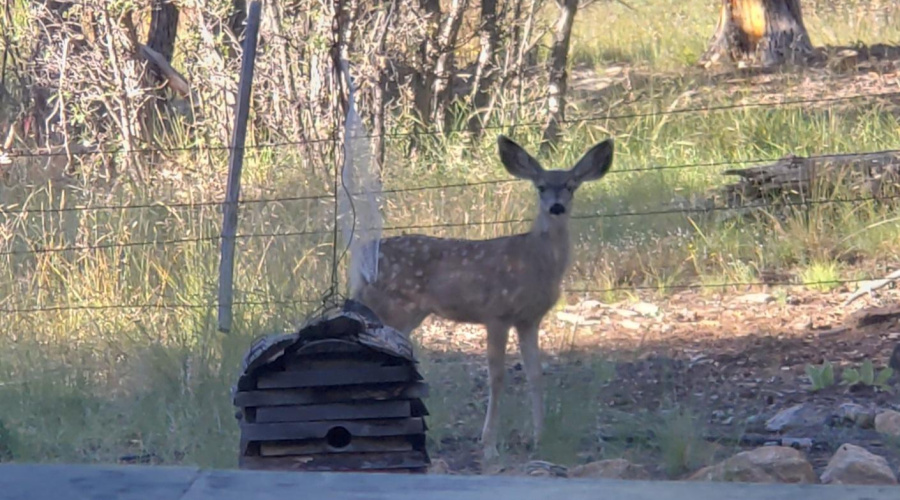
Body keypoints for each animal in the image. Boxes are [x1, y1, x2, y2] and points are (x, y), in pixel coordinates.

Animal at [348, 135, 614, 460]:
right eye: (540, 187)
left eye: (571, 185)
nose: (556, 207)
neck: (536, 262)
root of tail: (360, 261)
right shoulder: (497, 313)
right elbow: (497, 377)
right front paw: (489, 444)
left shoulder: (530, 319)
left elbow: (535, 374)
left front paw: (539, 435)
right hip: (390, 307)